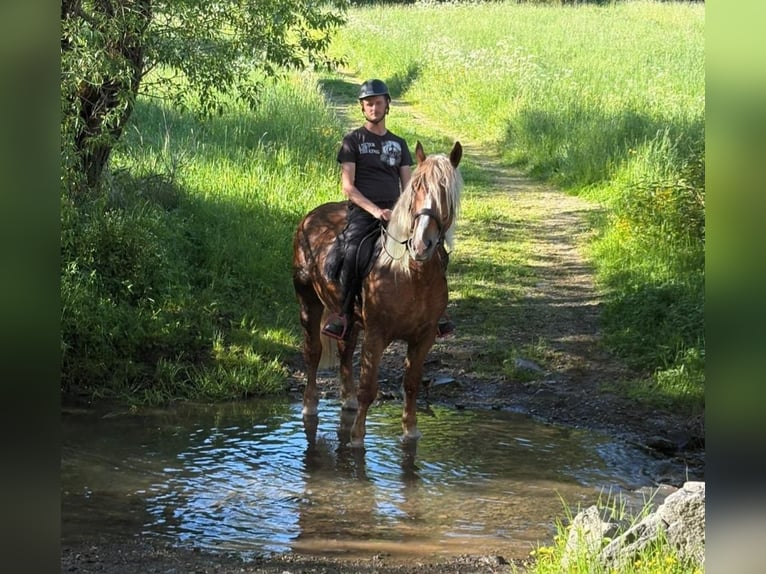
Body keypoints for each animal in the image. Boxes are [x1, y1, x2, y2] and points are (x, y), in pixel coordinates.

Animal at [292, 140, 463, 447]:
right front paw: (357, 438)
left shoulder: (424, 337)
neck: (410, 274)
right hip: (308, 301)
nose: (421, 245)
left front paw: (410, 431)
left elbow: (411, 384)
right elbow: (368, 388)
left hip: (348, 317)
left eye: (446, 193)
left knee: (345, 350)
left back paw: (346, 401)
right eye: (416, 188)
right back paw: (309, 406)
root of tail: (311, 217)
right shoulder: (377, 334)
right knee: (313, 352)